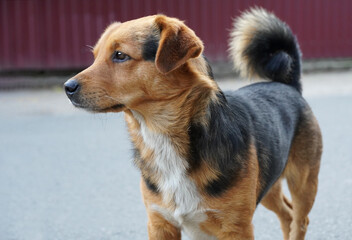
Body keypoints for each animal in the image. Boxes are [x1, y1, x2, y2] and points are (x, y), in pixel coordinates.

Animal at [63, 7, 322, 240]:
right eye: (95, 56)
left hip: (303, 184)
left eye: (120, 55)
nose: (67, 88)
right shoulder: (160, 224)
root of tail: (287, 85)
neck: (162, 137)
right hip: (268, 185)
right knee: (287, 215)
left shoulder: (236, 227)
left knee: (300, 219)